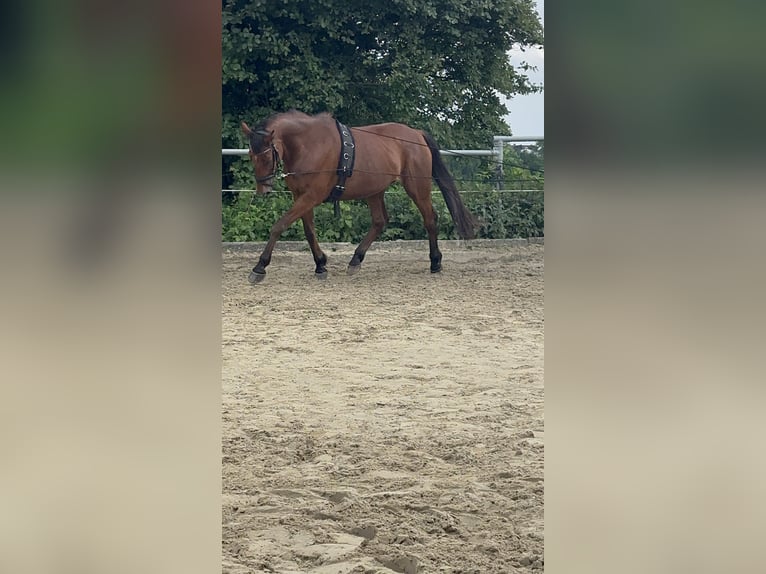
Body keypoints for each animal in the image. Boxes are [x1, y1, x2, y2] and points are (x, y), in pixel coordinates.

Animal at [240, 110, 477, 283]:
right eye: (251, 155)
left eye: (265, 155)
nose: (263, 190)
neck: (308, 144)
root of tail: (416, 133)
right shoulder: (300, 195)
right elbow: (309, 231)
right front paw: (320, 264)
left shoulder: (311, 196)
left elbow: (279, 226)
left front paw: (260, 267)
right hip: (374, 191)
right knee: (380, 221)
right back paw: (355, 260)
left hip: (417, 187)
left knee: (429, 219)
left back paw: (435, 262)